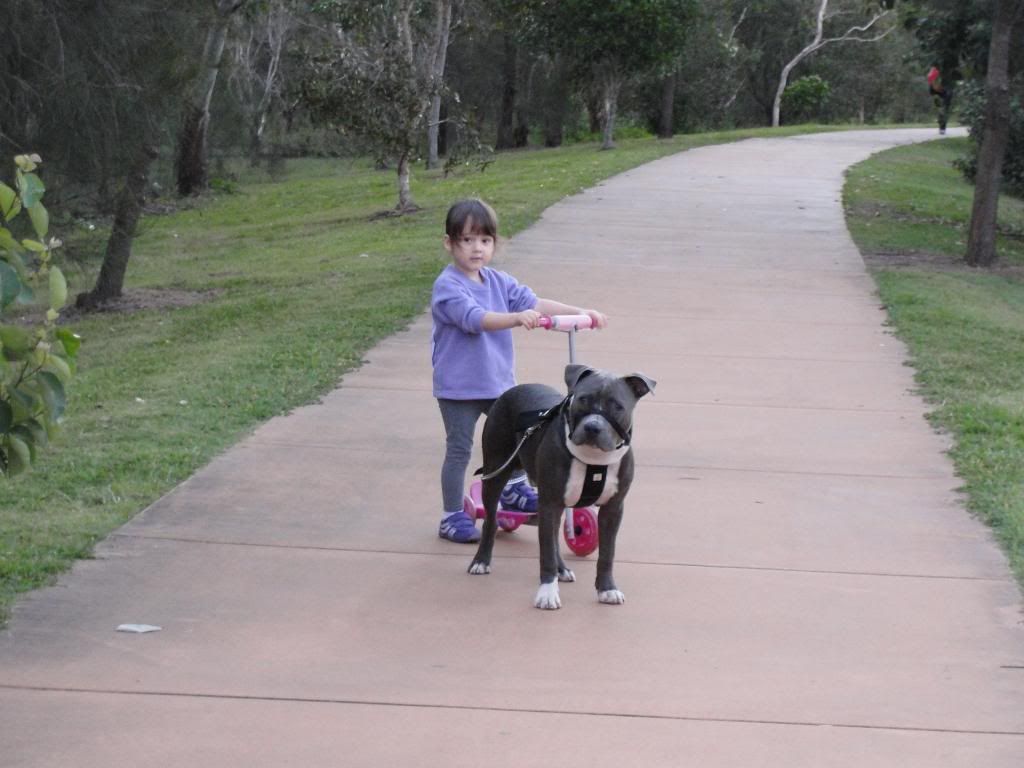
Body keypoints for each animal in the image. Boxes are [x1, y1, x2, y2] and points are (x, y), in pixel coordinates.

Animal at [466, 364, 651, 610]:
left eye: (617, 406)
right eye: (583, 399)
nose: (593, 427)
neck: (594, 458)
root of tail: (515, 389)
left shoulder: (613, 508)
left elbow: (607, 553)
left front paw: (607, 589)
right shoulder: (549, 502)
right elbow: (546, 553)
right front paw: (547, 593)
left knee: (552, 536)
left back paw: (561, 569)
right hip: (496, 470)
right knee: (491, 519)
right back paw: (481, 561)